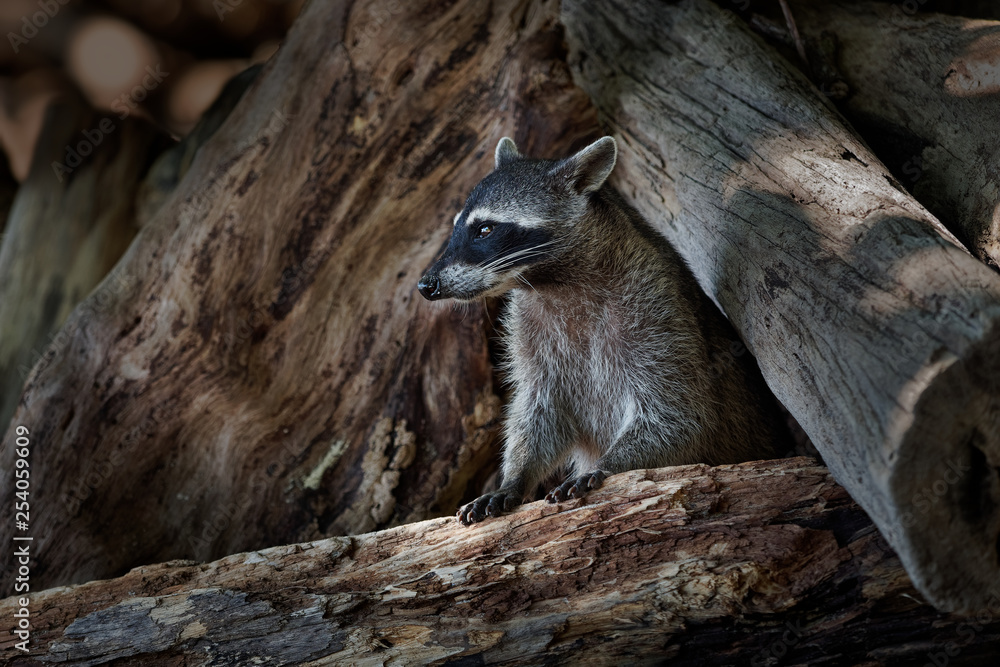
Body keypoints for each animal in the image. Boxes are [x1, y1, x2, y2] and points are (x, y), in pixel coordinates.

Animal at [418, 136, 782, 525]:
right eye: (457, 227)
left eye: (485, 229)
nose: (426, 285)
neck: (552, 282)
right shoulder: (528, 331)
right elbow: (539, 408)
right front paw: (514, 478)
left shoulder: (659, 310)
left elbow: (679, 416)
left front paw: (609, 464)